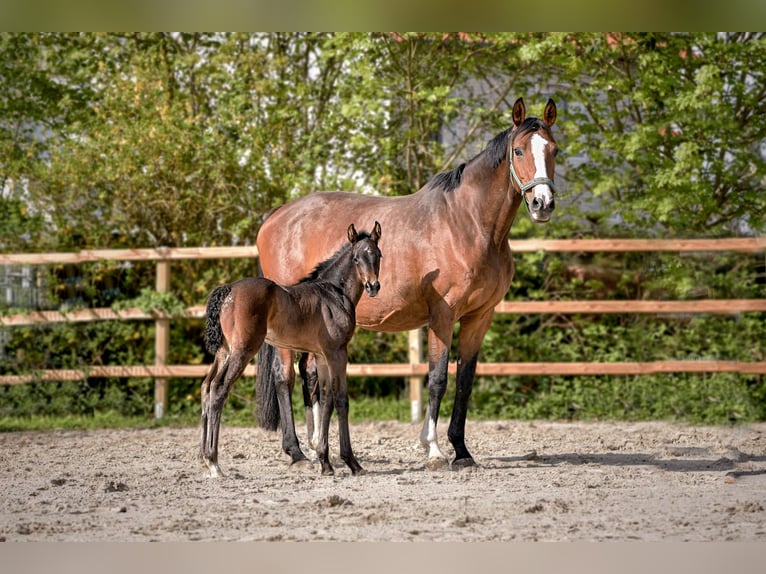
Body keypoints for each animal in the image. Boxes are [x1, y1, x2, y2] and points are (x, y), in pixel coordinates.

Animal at [199, 221, 382, 477]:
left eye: (378, 255)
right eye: (356, 258)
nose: (373, 286)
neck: (333, 294)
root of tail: (228, 290)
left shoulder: (322, 356)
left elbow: (325, 400)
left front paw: (325, 462)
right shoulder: (338, 353)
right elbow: (340, 399)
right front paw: (352, 463)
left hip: (224, 352)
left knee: (207, 387)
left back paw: (204, 459)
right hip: (242, 351)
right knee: (218, 389)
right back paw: (214, 463)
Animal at [255, 97, 558, 470]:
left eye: (554, 150)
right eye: (518, 150)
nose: (542, 203)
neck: (467, 223)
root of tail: (275, 218)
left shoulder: (479, 317)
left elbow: (465, 381)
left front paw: (462, 451)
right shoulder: (443, 315)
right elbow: (438, 378)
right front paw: (434, 450)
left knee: (309, 373)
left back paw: (315, 448)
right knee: (284, 376)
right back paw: (296, 452)